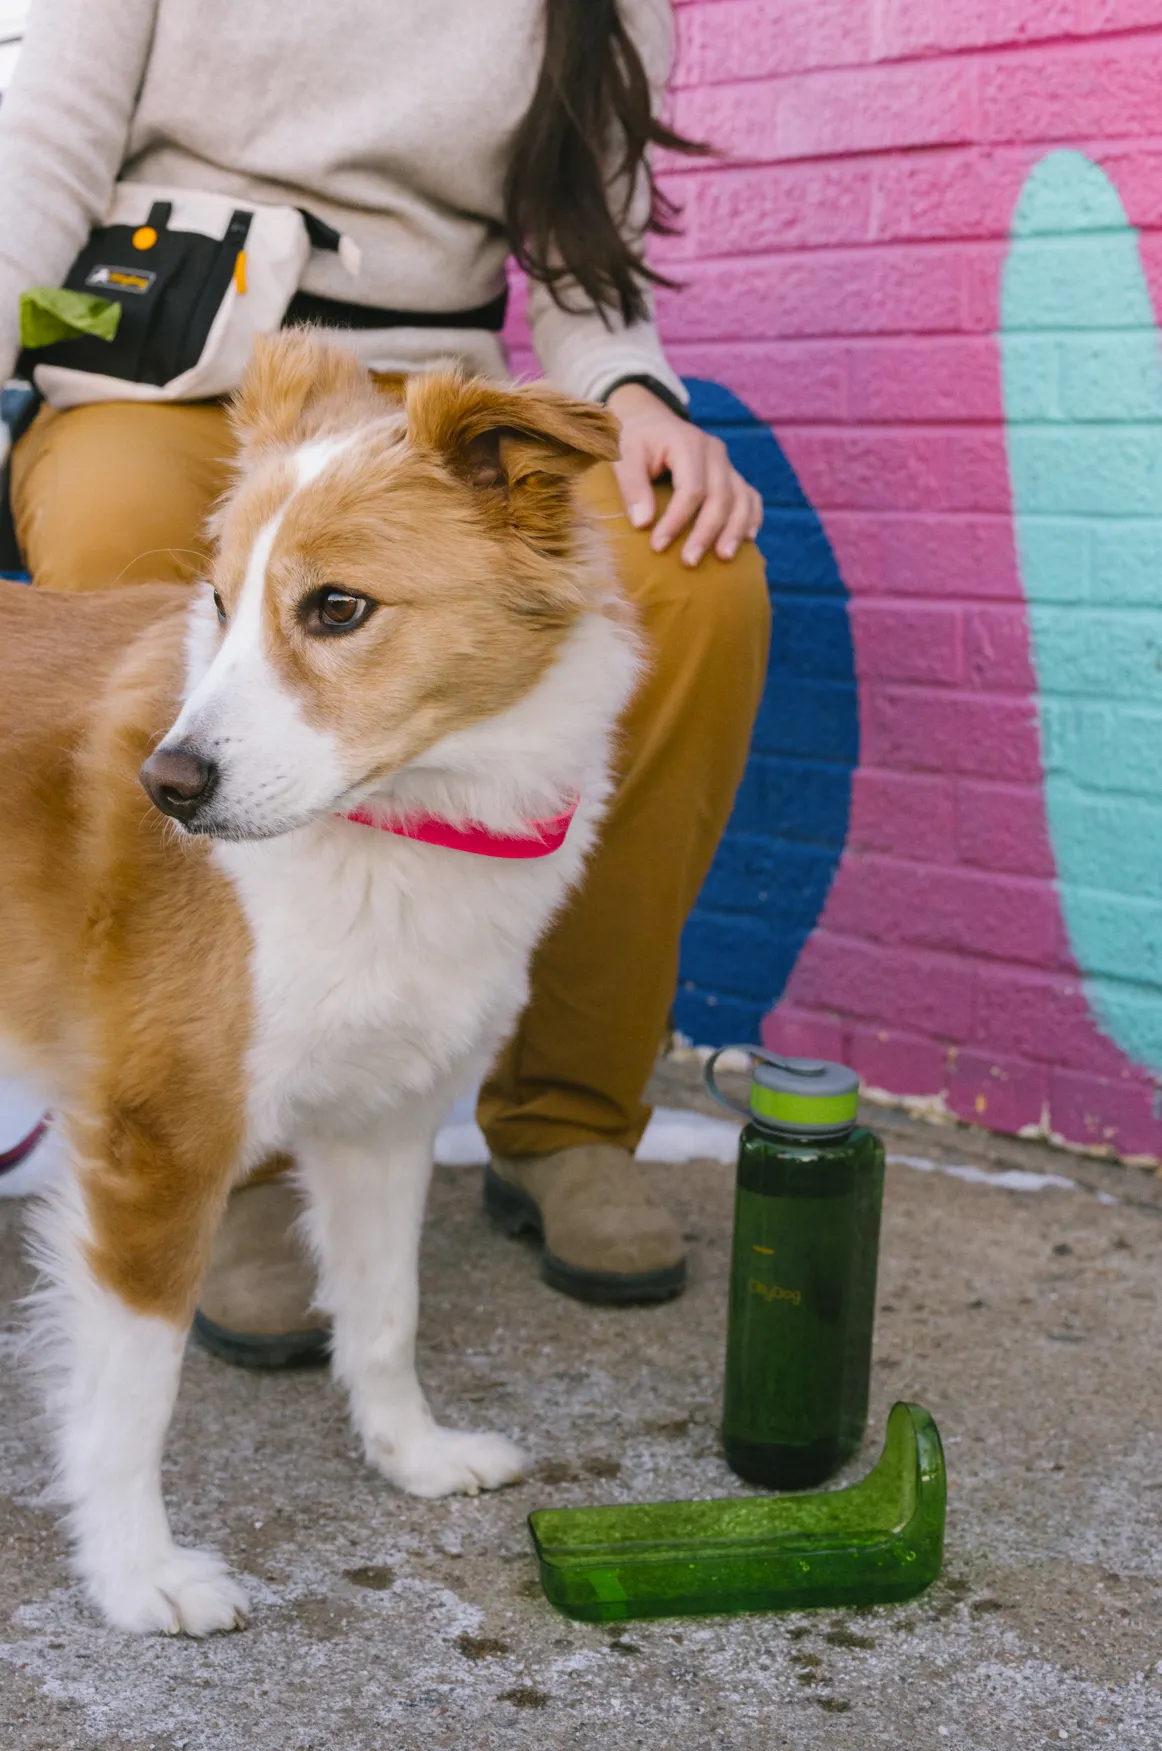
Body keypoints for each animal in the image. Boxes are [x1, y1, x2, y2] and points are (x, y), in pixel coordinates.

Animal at [0, 330, 637, 1638]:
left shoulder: (382, 1115)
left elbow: (385, 1312)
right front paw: (135, 1573)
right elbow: (133, 1393)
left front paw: (409, 1454)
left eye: (336, 608)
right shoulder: (158, 1143)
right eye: (218, 601)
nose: (164, 787)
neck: (401, 822)